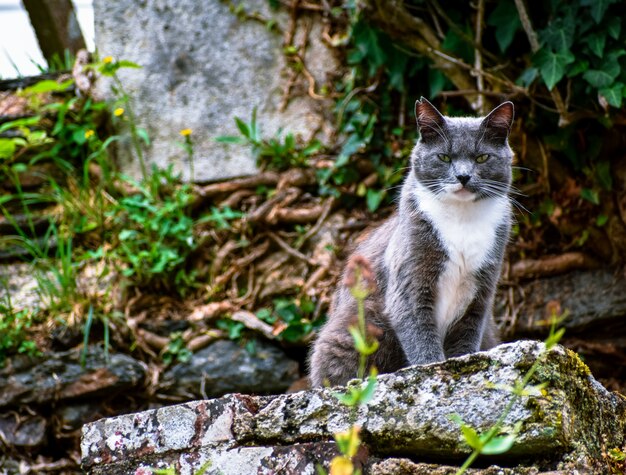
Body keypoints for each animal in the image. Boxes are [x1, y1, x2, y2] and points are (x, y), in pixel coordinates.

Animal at [310, 98, 516, 388]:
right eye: (444, 157)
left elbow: (466, 338)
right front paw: (434, 369)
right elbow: (420, 335)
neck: (462, 220)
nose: (463, 177)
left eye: (482, 157)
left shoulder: (481, 291)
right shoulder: (410, 280)